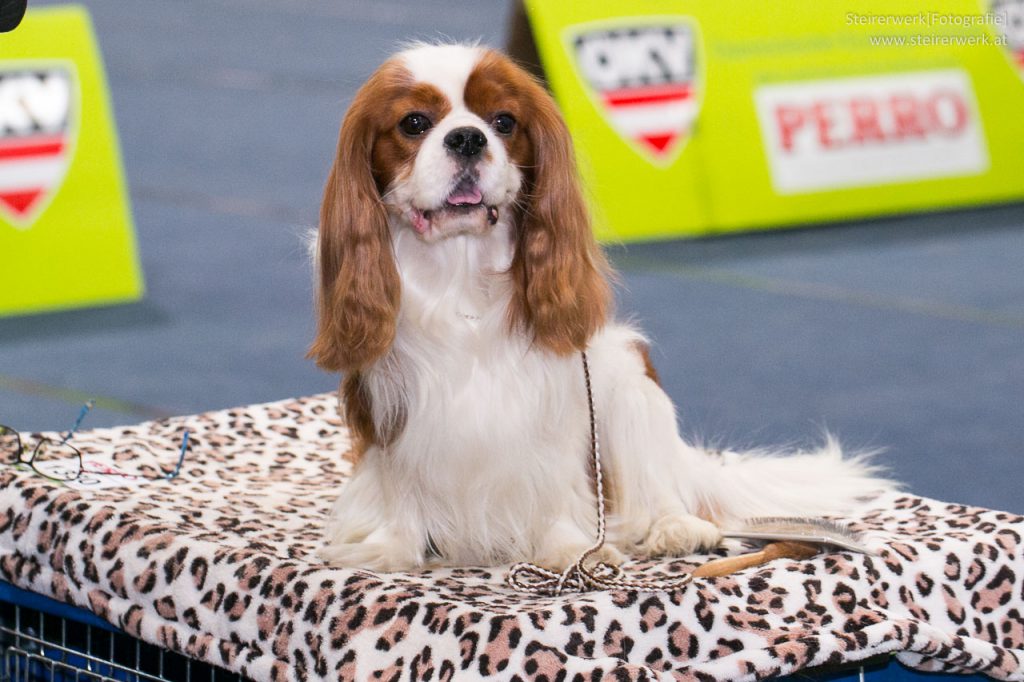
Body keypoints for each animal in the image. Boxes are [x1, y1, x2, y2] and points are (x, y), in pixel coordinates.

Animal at [307, 43, 892, 569]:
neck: (461, 272)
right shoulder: (394, 411)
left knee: (660, 487)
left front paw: (569, 549)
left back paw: (676, 528)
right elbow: (400, 490)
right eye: (413, 123)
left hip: (629, 386)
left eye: (503, 121)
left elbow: (556, 485)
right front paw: (390, 549)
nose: (469, 138)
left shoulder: (555, 410)